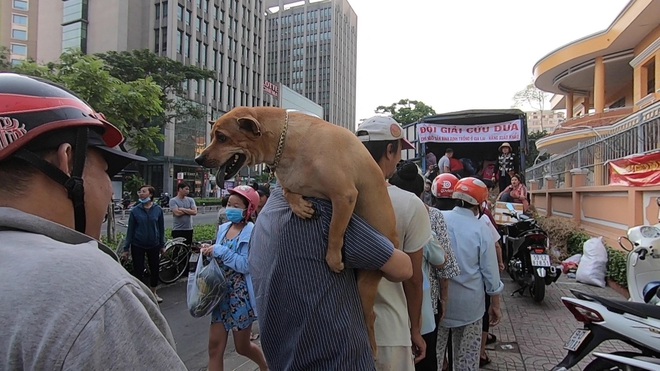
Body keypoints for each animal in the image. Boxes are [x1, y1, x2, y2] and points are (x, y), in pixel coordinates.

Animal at [193, 106, 400, 356]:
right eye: (212, 136)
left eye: (222, 137)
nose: (198, 158)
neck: (286, 146)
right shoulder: (291, 184)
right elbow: (287, 191)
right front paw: (299, 205)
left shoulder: (344, 195)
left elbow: (335, 229)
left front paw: (332, 257)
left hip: (366, 284)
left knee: (370, 316)